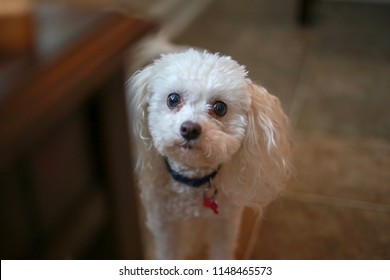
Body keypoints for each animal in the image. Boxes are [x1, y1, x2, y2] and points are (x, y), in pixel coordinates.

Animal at [126, 48, 290, 260]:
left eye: (220, 107)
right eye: (173, 99)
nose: (189, 129)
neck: (191, 183)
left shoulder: (225, 221)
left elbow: (222, 249)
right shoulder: (163, 223)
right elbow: (169, 251)